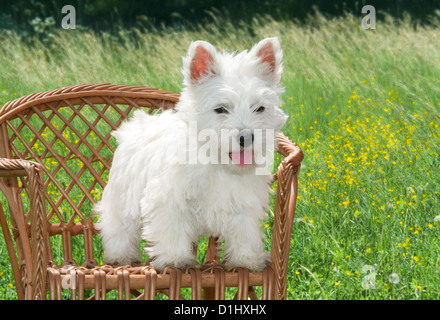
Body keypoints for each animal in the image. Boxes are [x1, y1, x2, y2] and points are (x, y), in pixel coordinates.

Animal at [94, 37, 288, 272]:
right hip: (121, 198)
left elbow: (245, 231)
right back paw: (120, 256)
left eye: (259, 109)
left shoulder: (243, 202)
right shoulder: (169, 200)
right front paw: (174, 259)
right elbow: (172, 230)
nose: (246, 137)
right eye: (221, 109)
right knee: (119, 228)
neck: (216, 162)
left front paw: (248, 259)